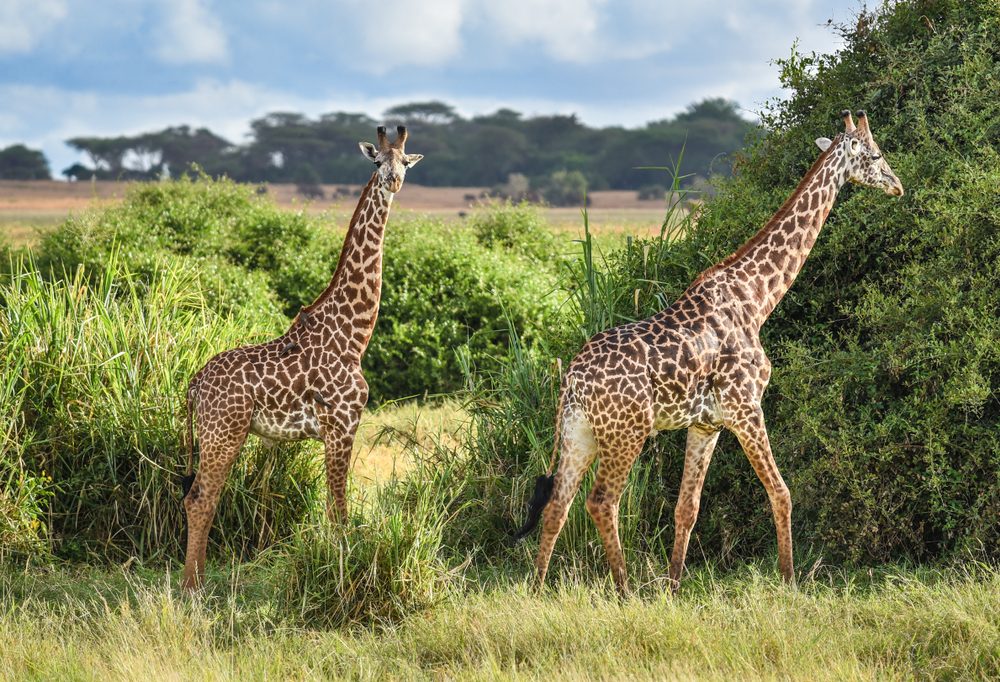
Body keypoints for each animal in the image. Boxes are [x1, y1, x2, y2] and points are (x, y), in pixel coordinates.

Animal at [179, 126, 422, 590]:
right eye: (376, 162)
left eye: (404, 162)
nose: (394, 182)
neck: (353, 335)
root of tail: (194, 385)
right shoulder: (341, 424)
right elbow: (339, 510)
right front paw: (344, 575)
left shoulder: (335, 429)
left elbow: (333, 508)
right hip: (224, 433)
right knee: (200, 498)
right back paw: (191, 587)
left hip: (218, 434)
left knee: (200, 496)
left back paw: (195, 581)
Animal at [514, 110, 904, 593]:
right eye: (876, 154)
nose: (897, 185)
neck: (757, 298)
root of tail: (572, 380)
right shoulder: (745, 406)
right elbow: (781, 492)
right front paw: (789, 579)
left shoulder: (706, 422)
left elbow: (688, 506)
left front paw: (674, 585)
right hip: (626, 432)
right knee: (602, 501)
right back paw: (624, 589)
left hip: (579, 432)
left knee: (557, 504)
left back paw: (537, 587)